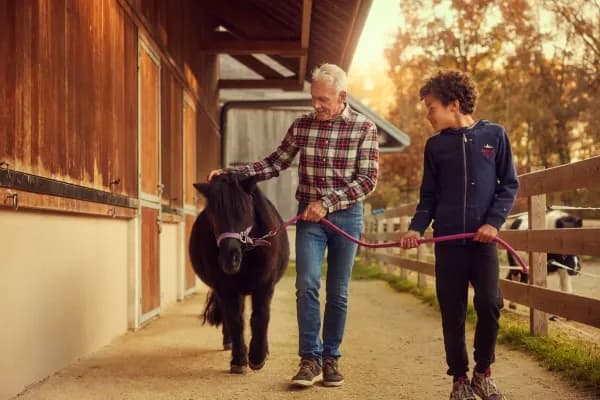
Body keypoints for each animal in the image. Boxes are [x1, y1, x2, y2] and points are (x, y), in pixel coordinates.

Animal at [189, 173, 290, 374]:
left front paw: (258, 357)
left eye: (244, 210)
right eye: (213, 215)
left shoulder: (265, 286)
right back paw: (229, 342)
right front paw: (239, 360)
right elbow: (235, 320)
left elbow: (260, 317)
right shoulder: (225, 289)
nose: (230, 259)